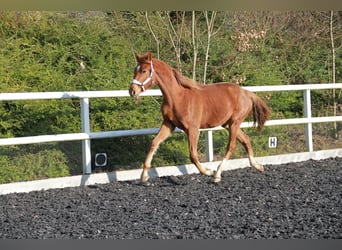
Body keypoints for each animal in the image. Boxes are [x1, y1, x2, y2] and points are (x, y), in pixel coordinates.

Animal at [128, 51, 270, 183]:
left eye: (144, 70)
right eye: (135, 70)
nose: (132, 91)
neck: (177, 97)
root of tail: (246, 93)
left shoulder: (192, 129)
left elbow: (193, 155)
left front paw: (208, 172)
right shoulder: (169, 124)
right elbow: (154, 143)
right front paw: (144, 176)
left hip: (235, 122)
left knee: (231, 146)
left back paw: (217, 174)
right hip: (228, 124)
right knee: (246, 139)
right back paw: (258, 166)